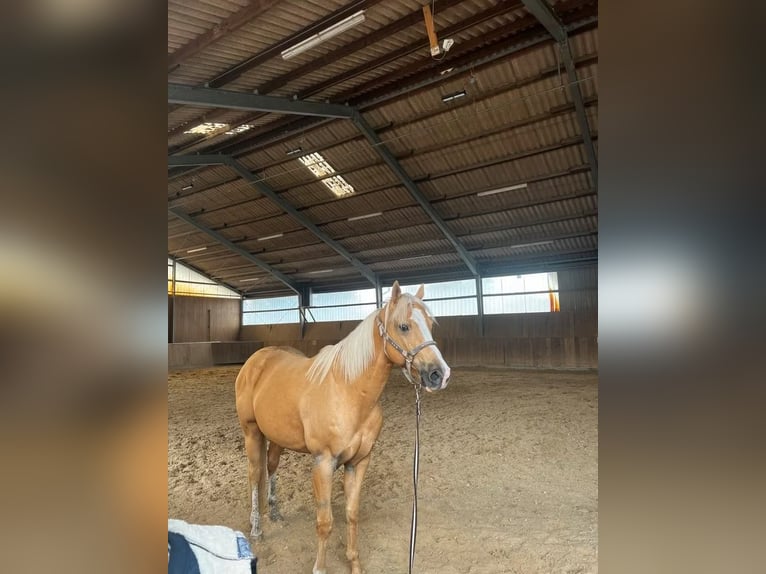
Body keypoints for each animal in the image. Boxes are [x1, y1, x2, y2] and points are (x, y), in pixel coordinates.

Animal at [234, 281, 451, 574]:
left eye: (430, 323)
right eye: (404, 326)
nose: (440, 374)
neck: (350, 391)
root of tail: (256, 361)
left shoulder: (358, 462)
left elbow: (351, 513)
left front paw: (354, 563)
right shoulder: (323, 463)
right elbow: (325, 521)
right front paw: (319, 568)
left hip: (276, 436)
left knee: (270, 467)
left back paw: (276, 513)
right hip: (251, 432)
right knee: (254, 474)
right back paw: (257, 528)